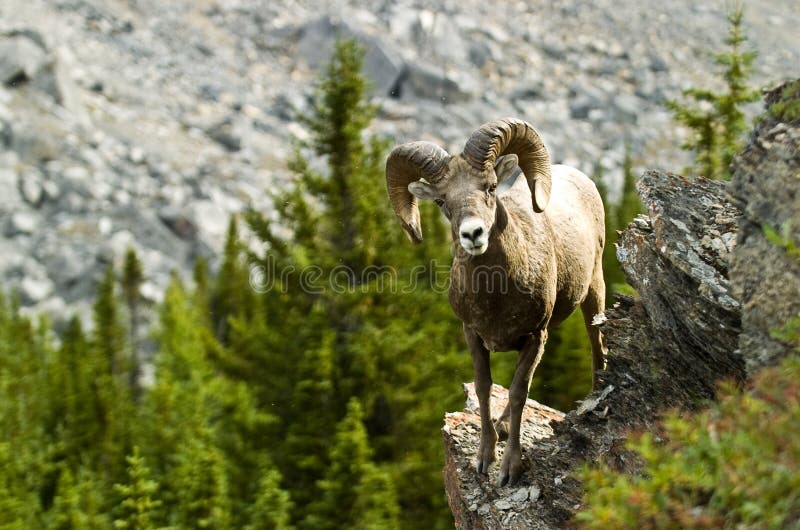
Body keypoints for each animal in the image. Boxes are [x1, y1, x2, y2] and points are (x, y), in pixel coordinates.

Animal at [386, 117, 608, 484]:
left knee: (597, 345)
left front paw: (509, 469)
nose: (473, 234)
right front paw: (484, 458)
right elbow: (484, 387)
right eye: (442, 201)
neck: (496, 296)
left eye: (490, 187)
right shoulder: (474, 335)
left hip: (594, 291)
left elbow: (519, 393)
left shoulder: (535, 336)